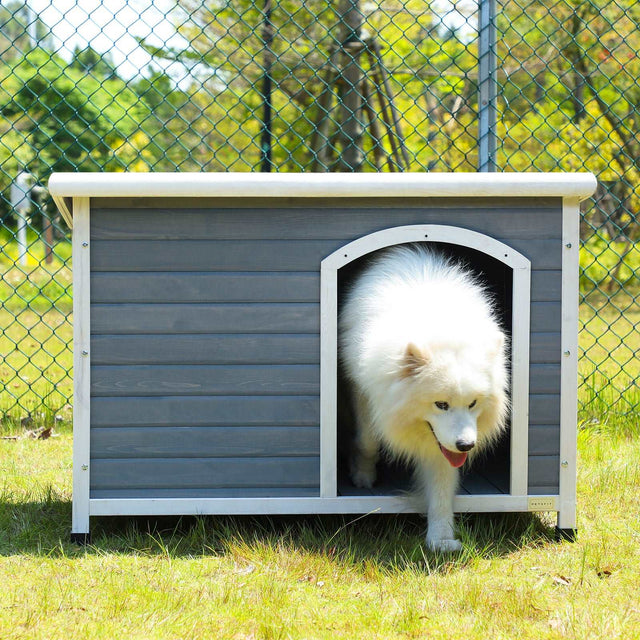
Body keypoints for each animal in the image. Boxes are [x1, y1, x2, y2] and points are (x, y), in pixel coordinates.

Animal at [338, 245, 508, 552]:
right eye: (441, 404)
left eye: (473, 403)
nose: (466, 445)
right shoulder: (362, 390)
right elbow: (368, 441)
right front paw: (362, 474)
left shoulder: (441, 442)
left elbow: (441, 483)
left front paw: (440, 539)